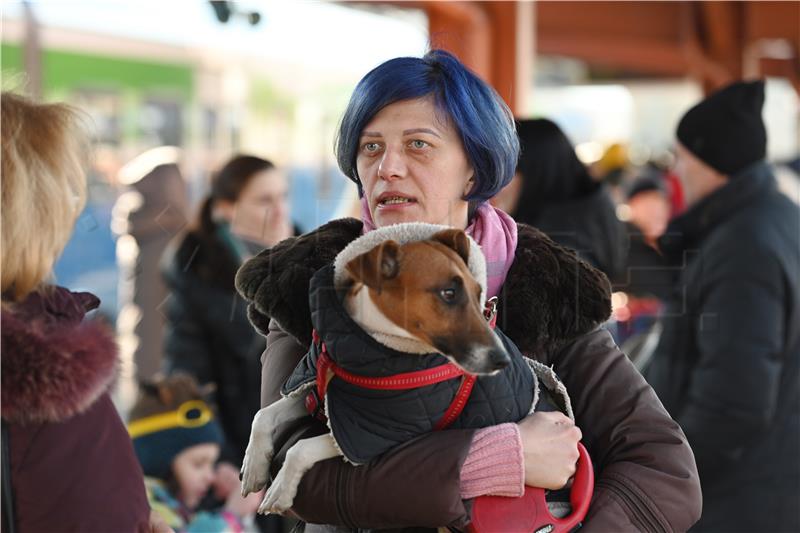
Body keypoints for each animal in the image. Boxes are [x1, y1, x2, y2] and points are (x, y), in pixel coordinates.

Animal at [241, 225, 560, 516]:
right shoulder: (323, 397)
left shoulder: (382, 436)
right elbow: (263, 415)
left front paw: (280, 489)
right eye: (449, 293)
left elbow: (302, 448)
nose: (502, 360)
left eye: (478, 292)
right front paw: (253, 465)